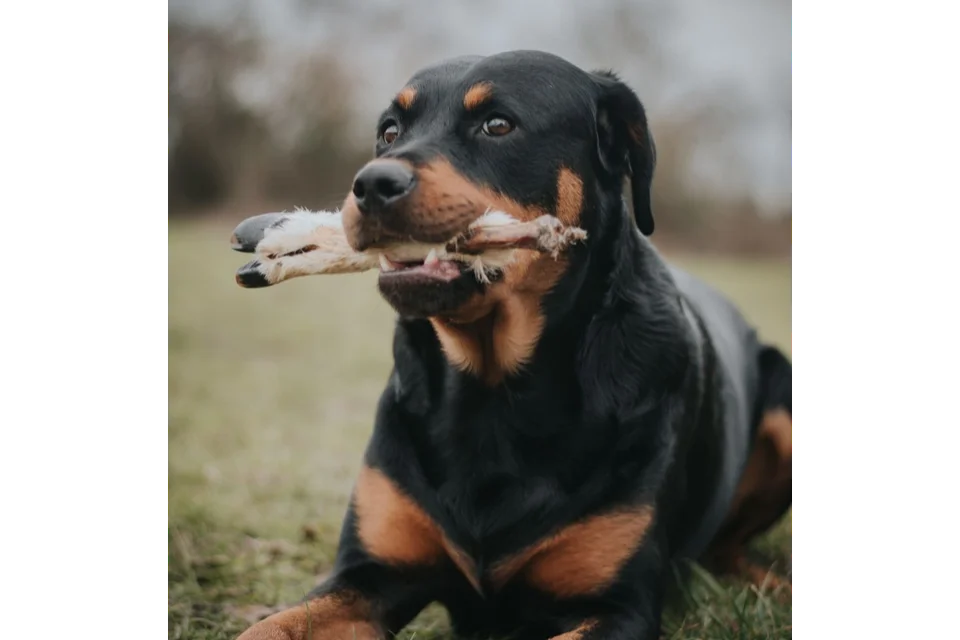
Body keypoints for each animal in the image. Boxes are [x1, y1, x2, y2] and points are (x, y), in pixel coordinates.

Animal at [236, 51, 792, 640]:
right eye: (389, 132)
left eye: (498, 125)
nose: (369, 184)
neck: (492, 388)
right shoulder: (368, 575)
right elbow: (270, 626)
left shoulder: (621, 607)